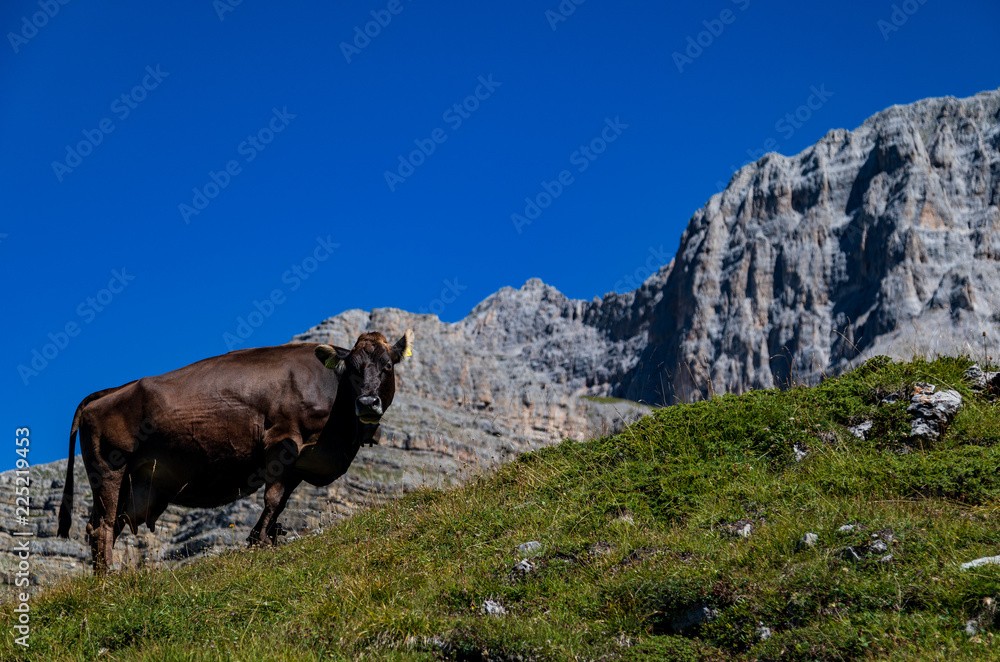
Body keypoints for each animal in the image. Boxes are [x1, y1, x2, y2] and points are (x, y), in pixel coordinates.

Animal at [55, 332, 414, 576]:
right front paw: (259, 542)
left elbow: (280, 502)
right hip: (110, 469)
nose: (367, 403)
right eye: (351, 368)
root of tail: (108, 393)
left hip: (133, 486)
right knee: (101, 528)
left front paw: (265, 538)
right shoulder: (282, 442)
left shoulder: (298, 464)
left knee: (105, 526)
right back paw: (107, 579)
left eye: (387, 366)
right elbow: (272, 498)